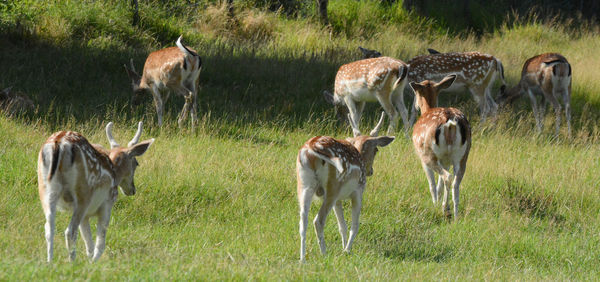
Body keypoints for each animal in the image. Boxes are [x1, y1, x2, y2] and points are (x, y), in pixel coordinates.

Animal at [37, 121, 155, 262]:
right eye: (136, 163)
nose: (132, 189)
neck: (115, 173)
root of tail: (59, 143)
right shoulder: (107, 204)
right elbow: (100, 243)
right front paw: (94, 262)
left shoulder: (86, 216)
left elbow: (89, 244)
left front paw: (89, 261)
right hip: (83, 195)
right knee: (70, 231)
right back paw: (71, 262)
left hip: (45, 189)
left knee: (49, 227)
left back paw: (50, 261)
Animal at [296, 111, 398, 262]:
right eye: (376, 150)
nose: (370, 171)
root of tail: (311, 149)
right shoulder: (358, 192)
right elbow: (354, 225)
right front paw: (347, 250)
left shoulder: (338, 199)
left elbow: (342, 226)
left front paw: (343, 248)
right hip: (332, 186)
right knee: (318, 220)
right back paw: (324, 253)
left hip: (304, 185)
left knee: (303, 220)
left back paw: (302, 258)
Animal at [410, 75, 472, 220]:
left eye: (415, 94)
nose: (415, 106)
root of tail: (450, 123)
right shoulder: (445, 161)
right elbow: (439, 186)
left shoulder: (423, 160)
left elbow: (432, 185)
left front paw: (435, 205)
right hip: (462, 156)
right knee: (455, 182)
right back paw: (455, 216)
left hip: (428, 154)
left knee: (447, 177)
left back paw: (446, 210)